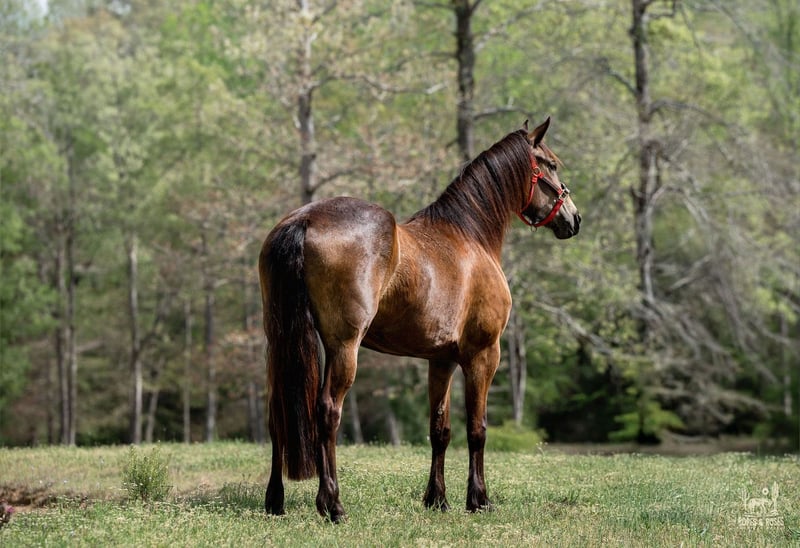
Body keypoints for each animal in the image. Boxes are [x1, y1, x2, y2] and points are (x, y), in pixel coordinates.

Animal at [258, 118, 580, 522]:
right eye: (551, 164)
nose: (574, 219)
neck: (470, 236)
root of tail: (305, 219)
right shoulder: (483, 355)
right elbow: (477, 429)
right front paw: (479, 499)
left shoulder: (440, 360)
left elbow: (439, 429)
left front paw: (437, 499)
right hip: (344, 347)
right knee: (328, 411)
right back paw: (332, 504)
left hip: (279, 343)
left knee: (277, 413)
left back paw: (275, 501)